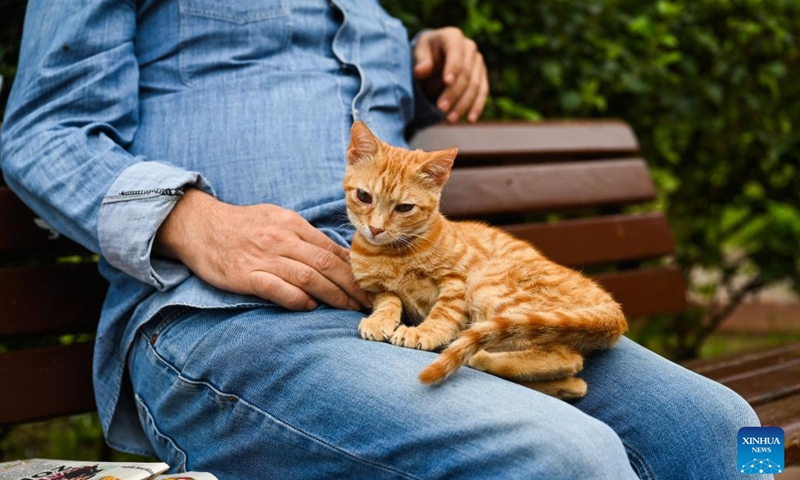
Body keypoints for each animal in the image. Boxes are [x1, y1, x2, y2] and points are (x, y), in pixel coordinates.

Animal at [342, 122, 624, 400]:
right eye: (364, 196)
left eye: (404, 208)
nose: (375, 229)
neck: (392, 254)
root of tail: (612, 310)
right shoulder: (377, 288)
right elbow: (389, 300)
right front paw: (379, 320)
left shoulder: (460, 279)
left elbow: (444, 312)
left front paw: (424, 331)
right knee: (575, 379)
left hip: (489, 284)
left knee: (567, 358)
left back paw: (480, 358)